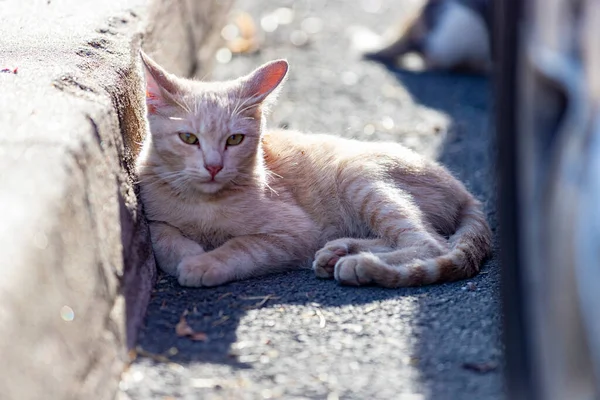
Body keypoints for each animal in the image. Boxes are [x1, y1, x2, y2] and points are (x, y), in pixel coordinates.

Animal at [136, 50, 492, 288]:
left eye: (234, 140)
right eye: (188, 138)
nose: (213, 166)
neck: (202, 204)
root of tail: (465, 192)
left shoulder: (294, 233)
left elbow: (242, 247)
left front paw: (204, 263)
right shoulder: (152, 212)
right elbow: (161, 235)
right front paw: (185, 254)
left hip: (357, 176)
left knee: (430, 243)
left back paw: (360, 264)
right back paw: (339, 250)